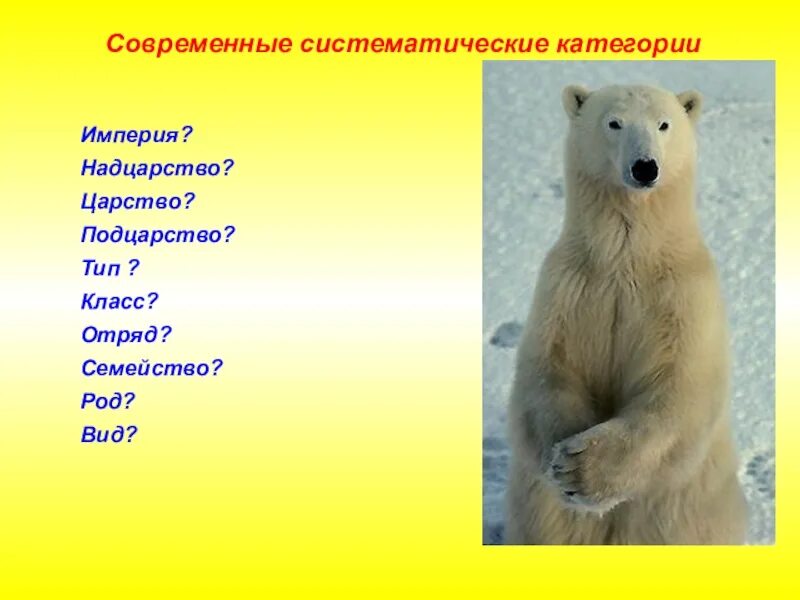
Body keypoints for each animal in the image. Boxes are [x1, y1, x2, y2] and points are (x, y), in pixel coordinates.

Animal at [505, 84, 748, 544]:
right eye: (614, 122)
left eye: (664, 123)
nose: (645, 167)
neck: (627, 257)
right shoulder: (569, 288)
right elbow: (550, 370)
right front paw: (562, 458)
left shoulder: (682, 296)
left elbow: (678, 388)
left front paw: (582, 469)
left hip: (693, 513)